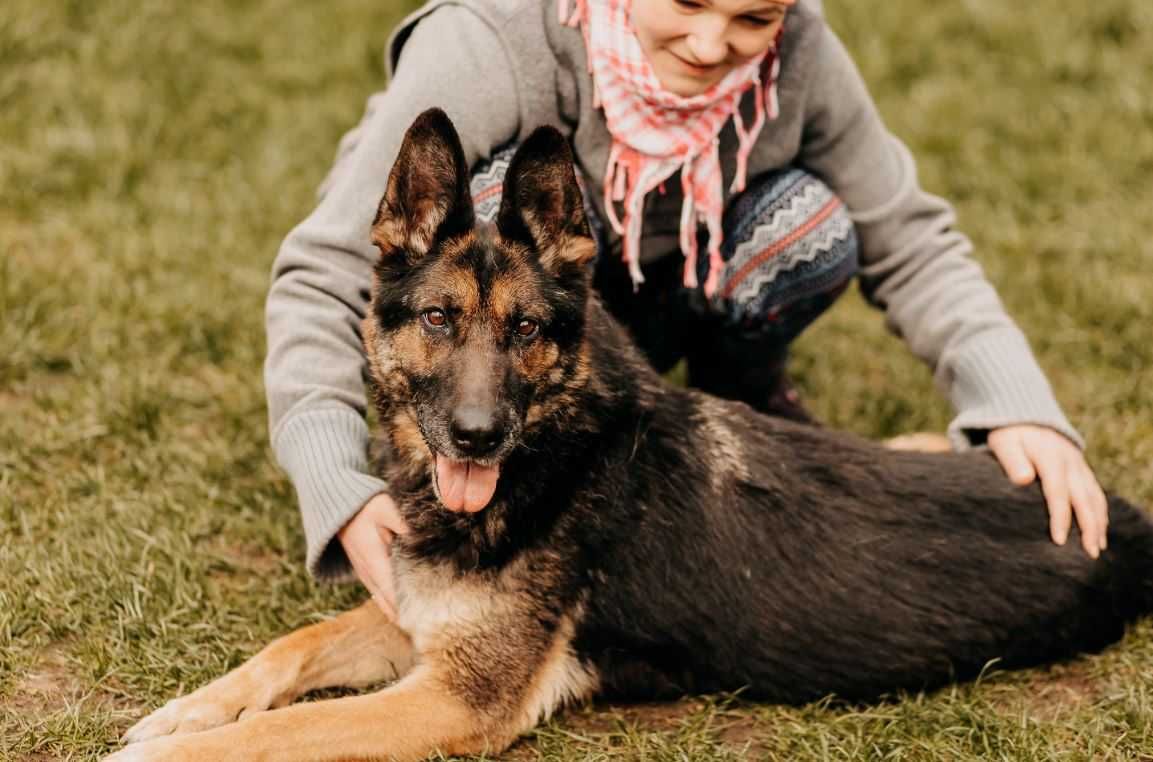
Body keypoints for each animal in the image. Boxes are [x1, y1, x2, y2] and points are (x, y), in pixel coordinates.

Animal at [110, 108, 1153, 760]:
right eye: (440, 319)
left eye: (527, 331)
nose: (477, 438)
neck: (555, 458)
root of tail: (1130, 520)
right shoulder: (422, 619)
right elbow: (292, 647)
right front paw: (185, 712)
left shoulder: (456, 698)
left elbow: (280, 733)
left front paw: (184, 747)